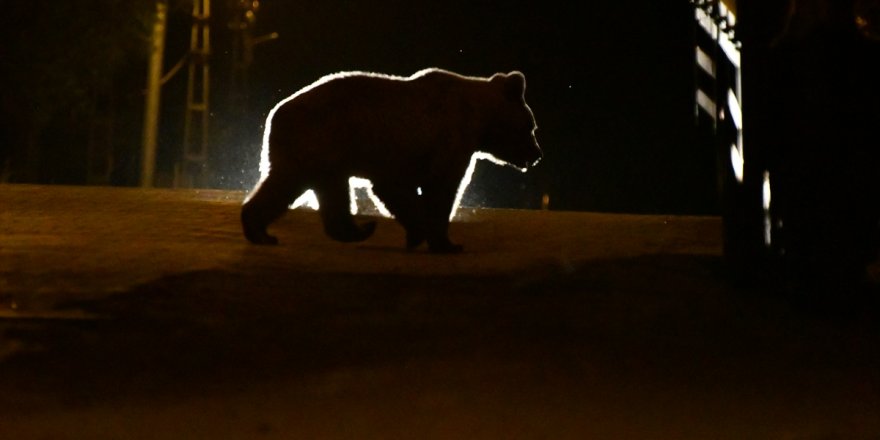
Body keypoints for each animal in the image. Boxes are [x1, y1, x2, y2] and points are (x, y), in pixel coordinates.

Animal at [242, 67, 544, 253]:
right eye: (531, 127)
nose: (537, 154)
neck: (478, 120)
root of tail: (275, 113)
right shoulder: (443, 142)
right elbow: (440, 189)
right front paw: (444, 242)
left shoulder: (397, 156)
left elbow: (395, 190)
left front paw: (418, 235)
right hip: (319, 142)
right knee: (290, 185)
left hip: (323, 155)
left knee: (322, 192)